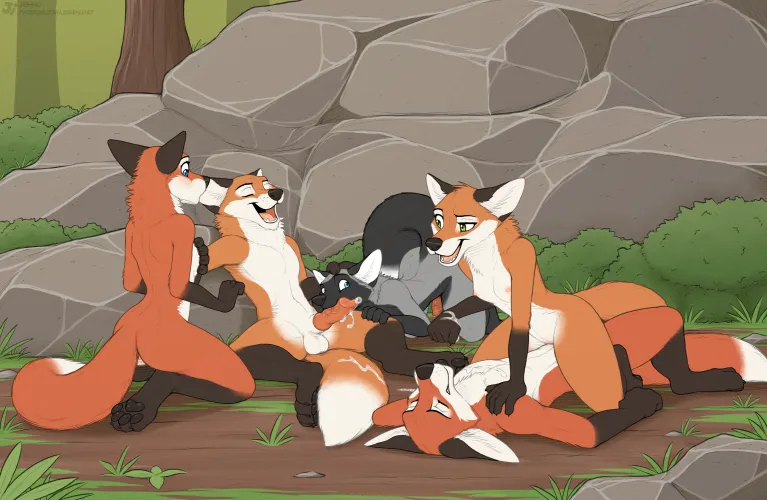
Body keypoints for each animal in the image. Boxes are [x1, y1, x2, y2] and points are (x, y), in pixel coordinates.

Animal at [11, 131, 256, 431]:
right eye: (186, 169)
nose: (212, 179)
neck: (156, 213)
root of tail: (132, 329)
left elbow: (132, 283)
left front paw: (203, 256)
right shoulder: (183, 229)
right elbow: (184, 285)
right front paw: (225, 293)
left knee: (146, 372)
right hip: (208, 360)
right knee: (190, 378)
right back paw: (137, 410)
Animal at [111, 171, 466, 446]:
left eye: (267, 183)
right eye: (247, 188)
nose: (276, 192)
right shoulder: (233, 249)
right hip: (259, 356)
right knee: (294, 370)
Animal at [365, 306, 767, 461]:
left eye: (429, 404)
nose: (423, 372)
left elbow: (380, 413)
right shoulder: (519, 417)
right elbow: (589, 433)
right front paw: (641, 399)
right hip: (636, 335)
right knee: (671, 366)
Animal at [420, 174, 745, 424]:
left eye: (464, 225)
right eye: (437, 221)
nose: (432, 243)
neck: (483, 261)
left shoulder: (522, 276)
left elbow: (518, 341)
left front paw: (513, 388)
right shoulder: (481, 290)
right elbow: (476, 303)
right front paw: (445, 321)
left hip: (587, 345)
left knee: (657, 353)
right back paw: (637, 381)